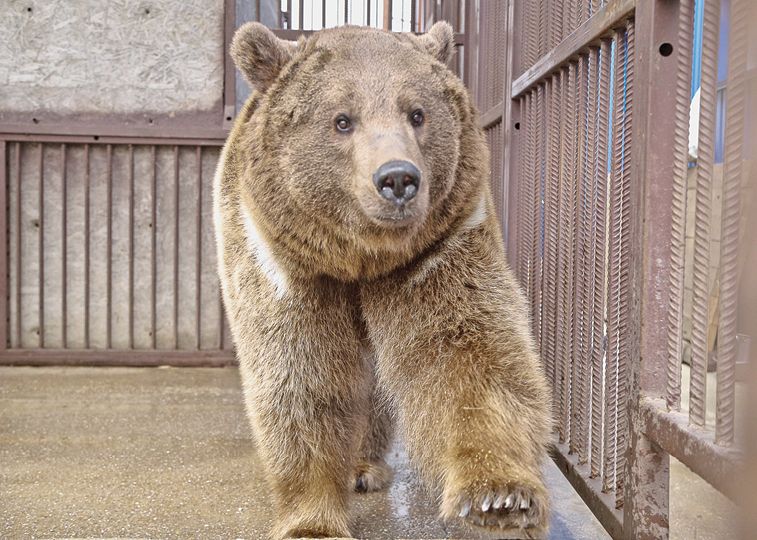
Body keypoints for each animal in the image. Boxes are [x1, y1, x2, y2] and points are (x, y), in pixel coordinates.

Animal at [216, 20, 552, 540]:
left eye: (417, 113)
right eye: (342, 120)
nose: (397, 178)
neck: (361, 258)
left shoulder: (439, 248)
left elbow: (467, 352)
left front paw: (499, 496)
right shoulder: (286, 262)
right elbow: (302, 369)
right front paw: (311, 521)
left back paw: (362, 465)